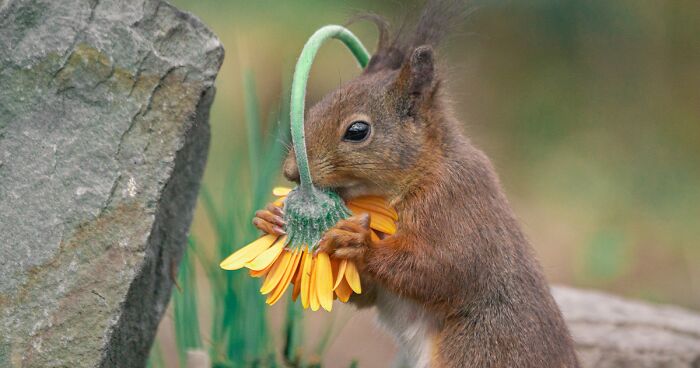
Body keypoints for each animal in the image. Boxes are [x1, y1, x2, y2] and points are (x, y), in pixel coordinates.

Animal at [252, 1, 580, 366]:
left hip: (474, 351)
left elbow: (443, 269)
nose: (291, 172)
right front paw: (268, 218)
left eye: (357, 131)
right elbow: (363, 292)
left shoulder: (457, 206)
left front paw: (360, 242)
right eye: (313, 109)